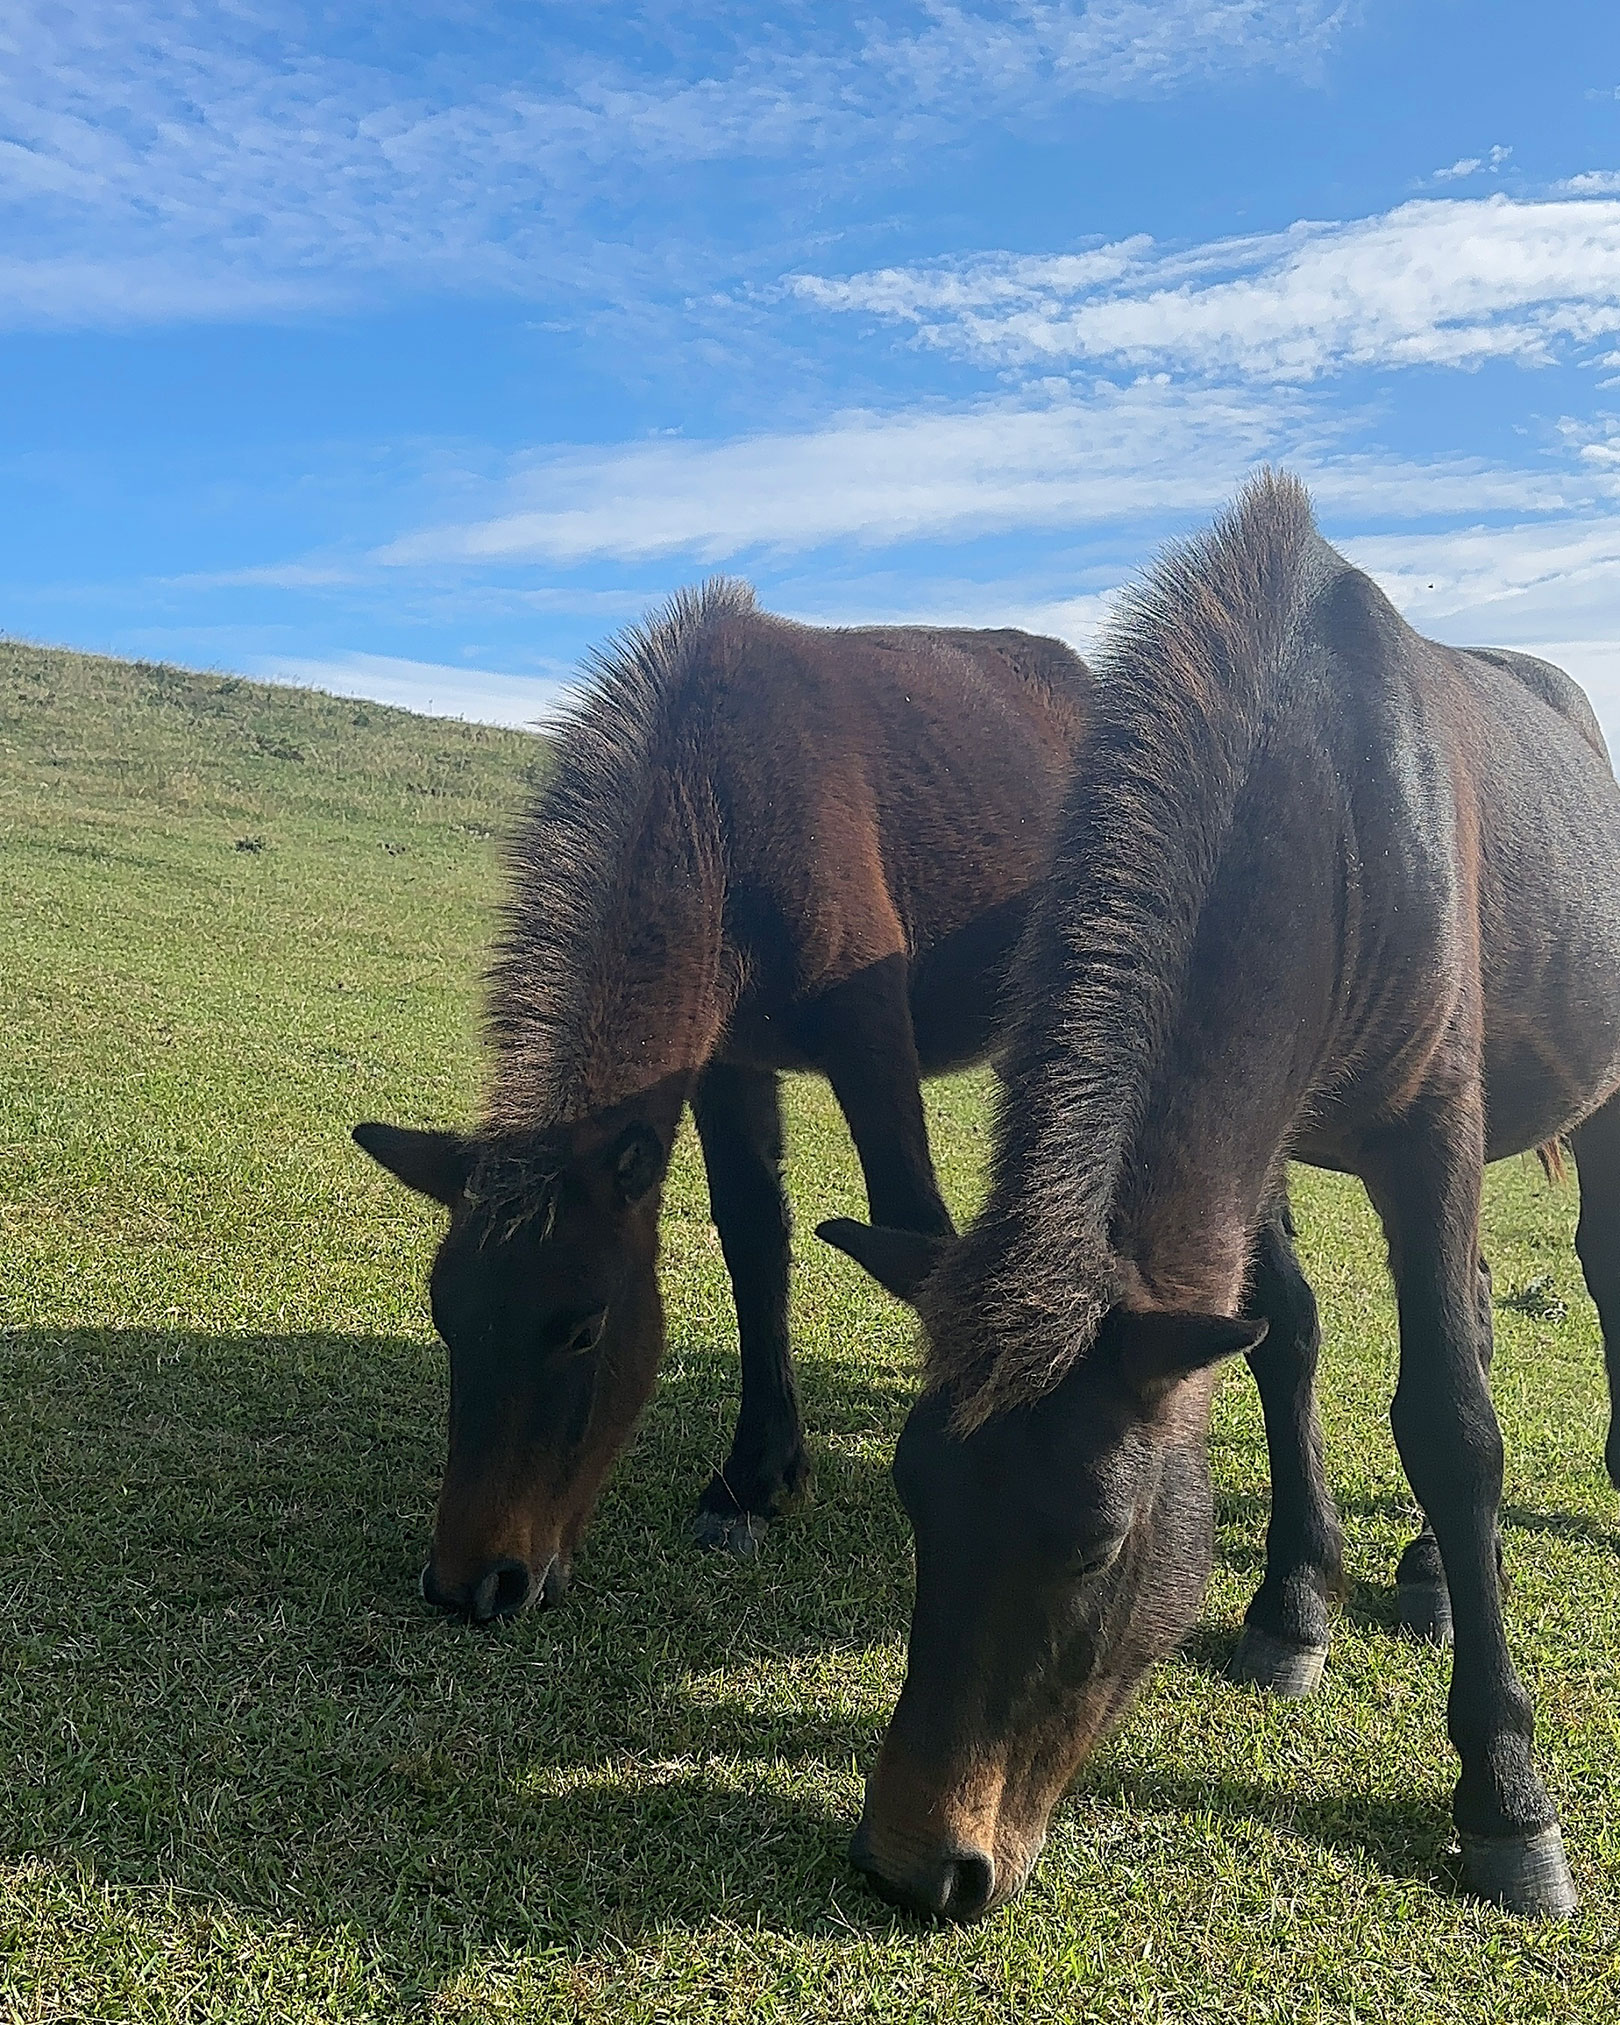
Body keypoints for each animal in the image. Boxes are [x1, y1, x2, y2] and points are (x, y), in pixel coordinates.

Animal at [352, 583, 1085, 1611]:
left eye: (583, 1327)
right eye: (443, 1316)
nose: (473, 1584)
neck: (719, 809)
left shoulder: (870, 1037)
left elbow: (912, 1219)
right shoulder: (730, 1061)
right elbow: (753, 1244)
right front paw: (755, 1478)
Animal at [822, 469, 1620, 1911]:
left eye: (1093, 1542)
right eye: (917, 1497)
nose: (917, 1863)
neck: (1336, 809)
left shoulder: (1433, 1138)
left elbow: (1451, 1426)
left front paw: (1507, 1796)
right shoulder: (1263, 1149)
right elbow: (1282, 1341)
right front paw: (1296, 1603)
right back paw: (1433, 1576)